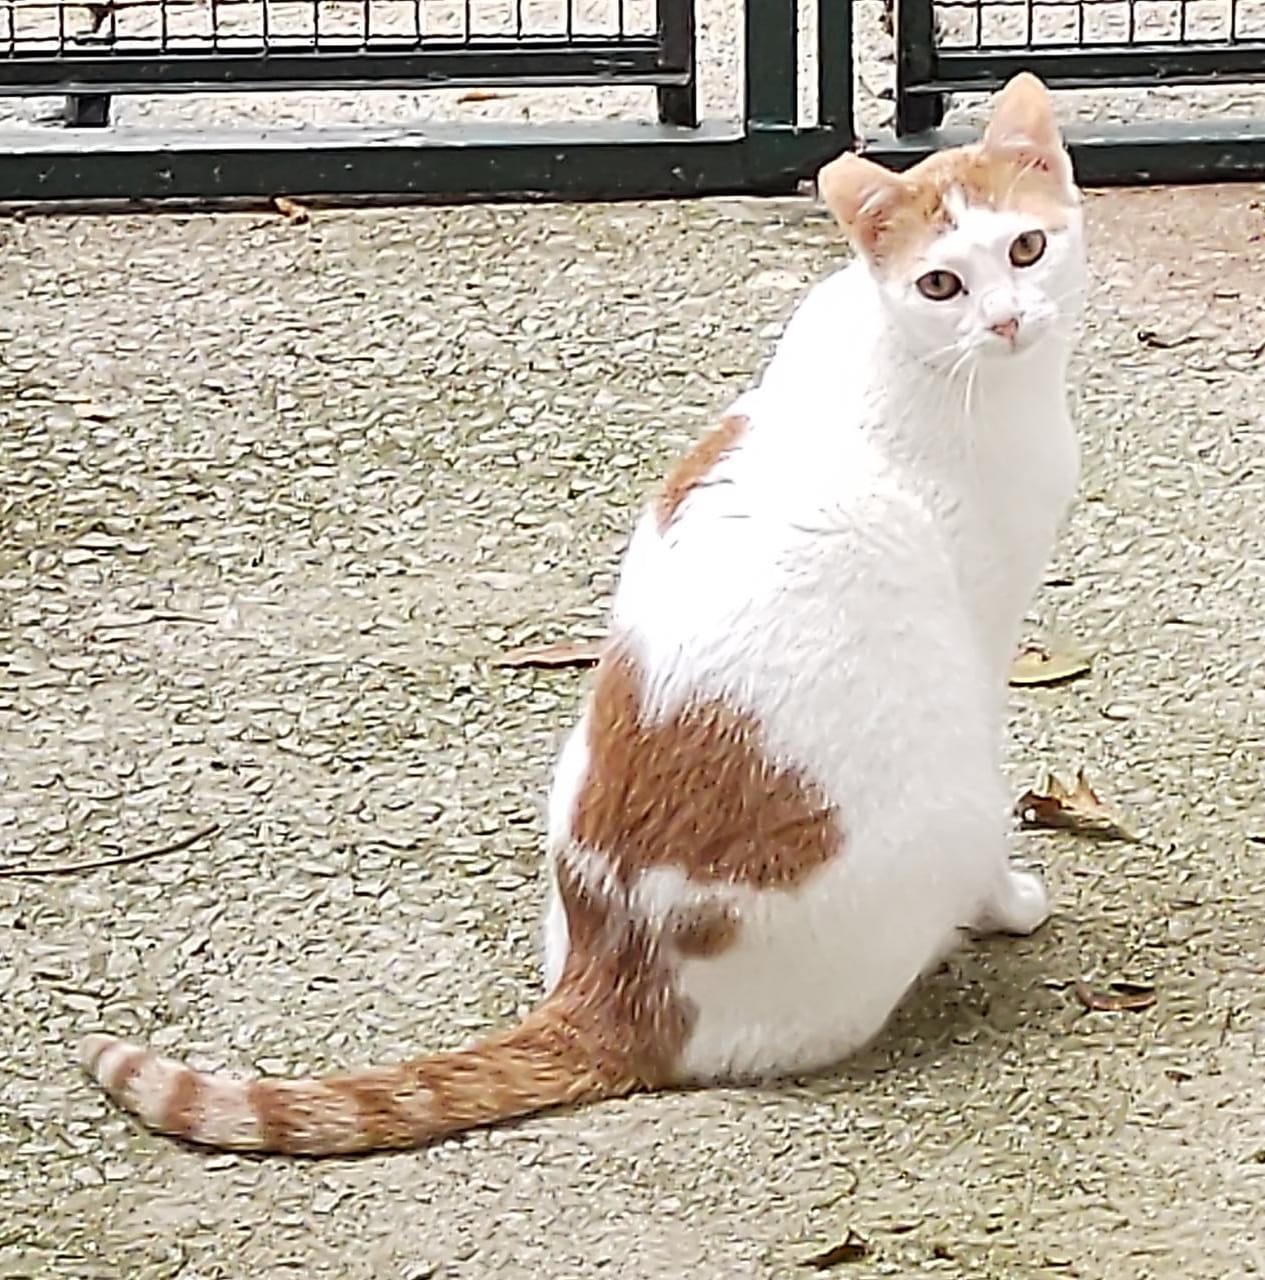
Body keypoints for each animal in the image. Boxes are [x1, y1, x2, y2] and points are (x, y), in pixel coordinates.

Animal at [79, 77, 1085, 1162]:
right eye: (940, 284)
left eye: (1025, 249)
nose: (1005, 320)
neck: (925, 365)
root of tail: (618, 984)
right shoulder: (983, 627)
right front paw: (1011, 902)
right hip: (942, 788)